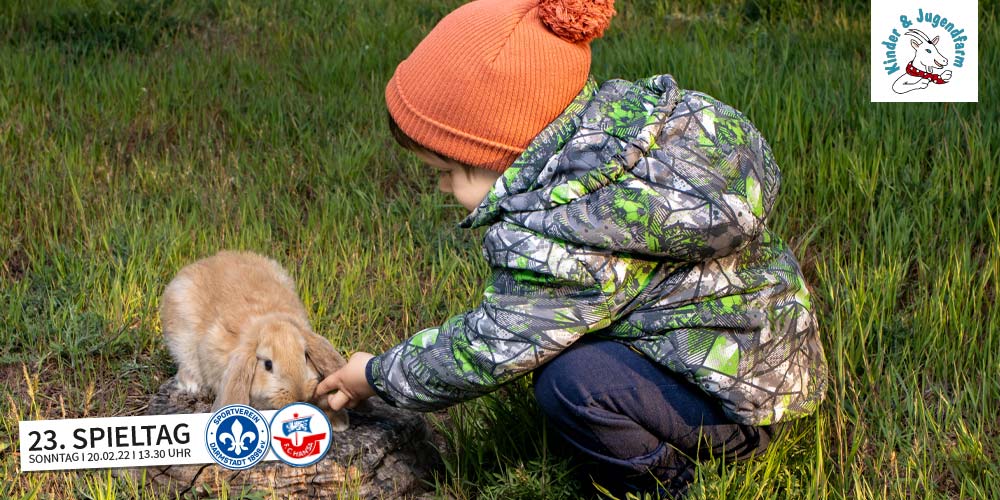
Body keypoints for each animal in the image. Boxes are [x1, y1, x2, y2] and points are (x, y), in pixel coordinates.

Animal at [161, 252, 352, 432]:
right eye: (268, 365)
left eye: (306, 356)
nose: (299, 396)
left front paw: (338, 421)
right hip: (182, 343)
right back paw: (192, 386)